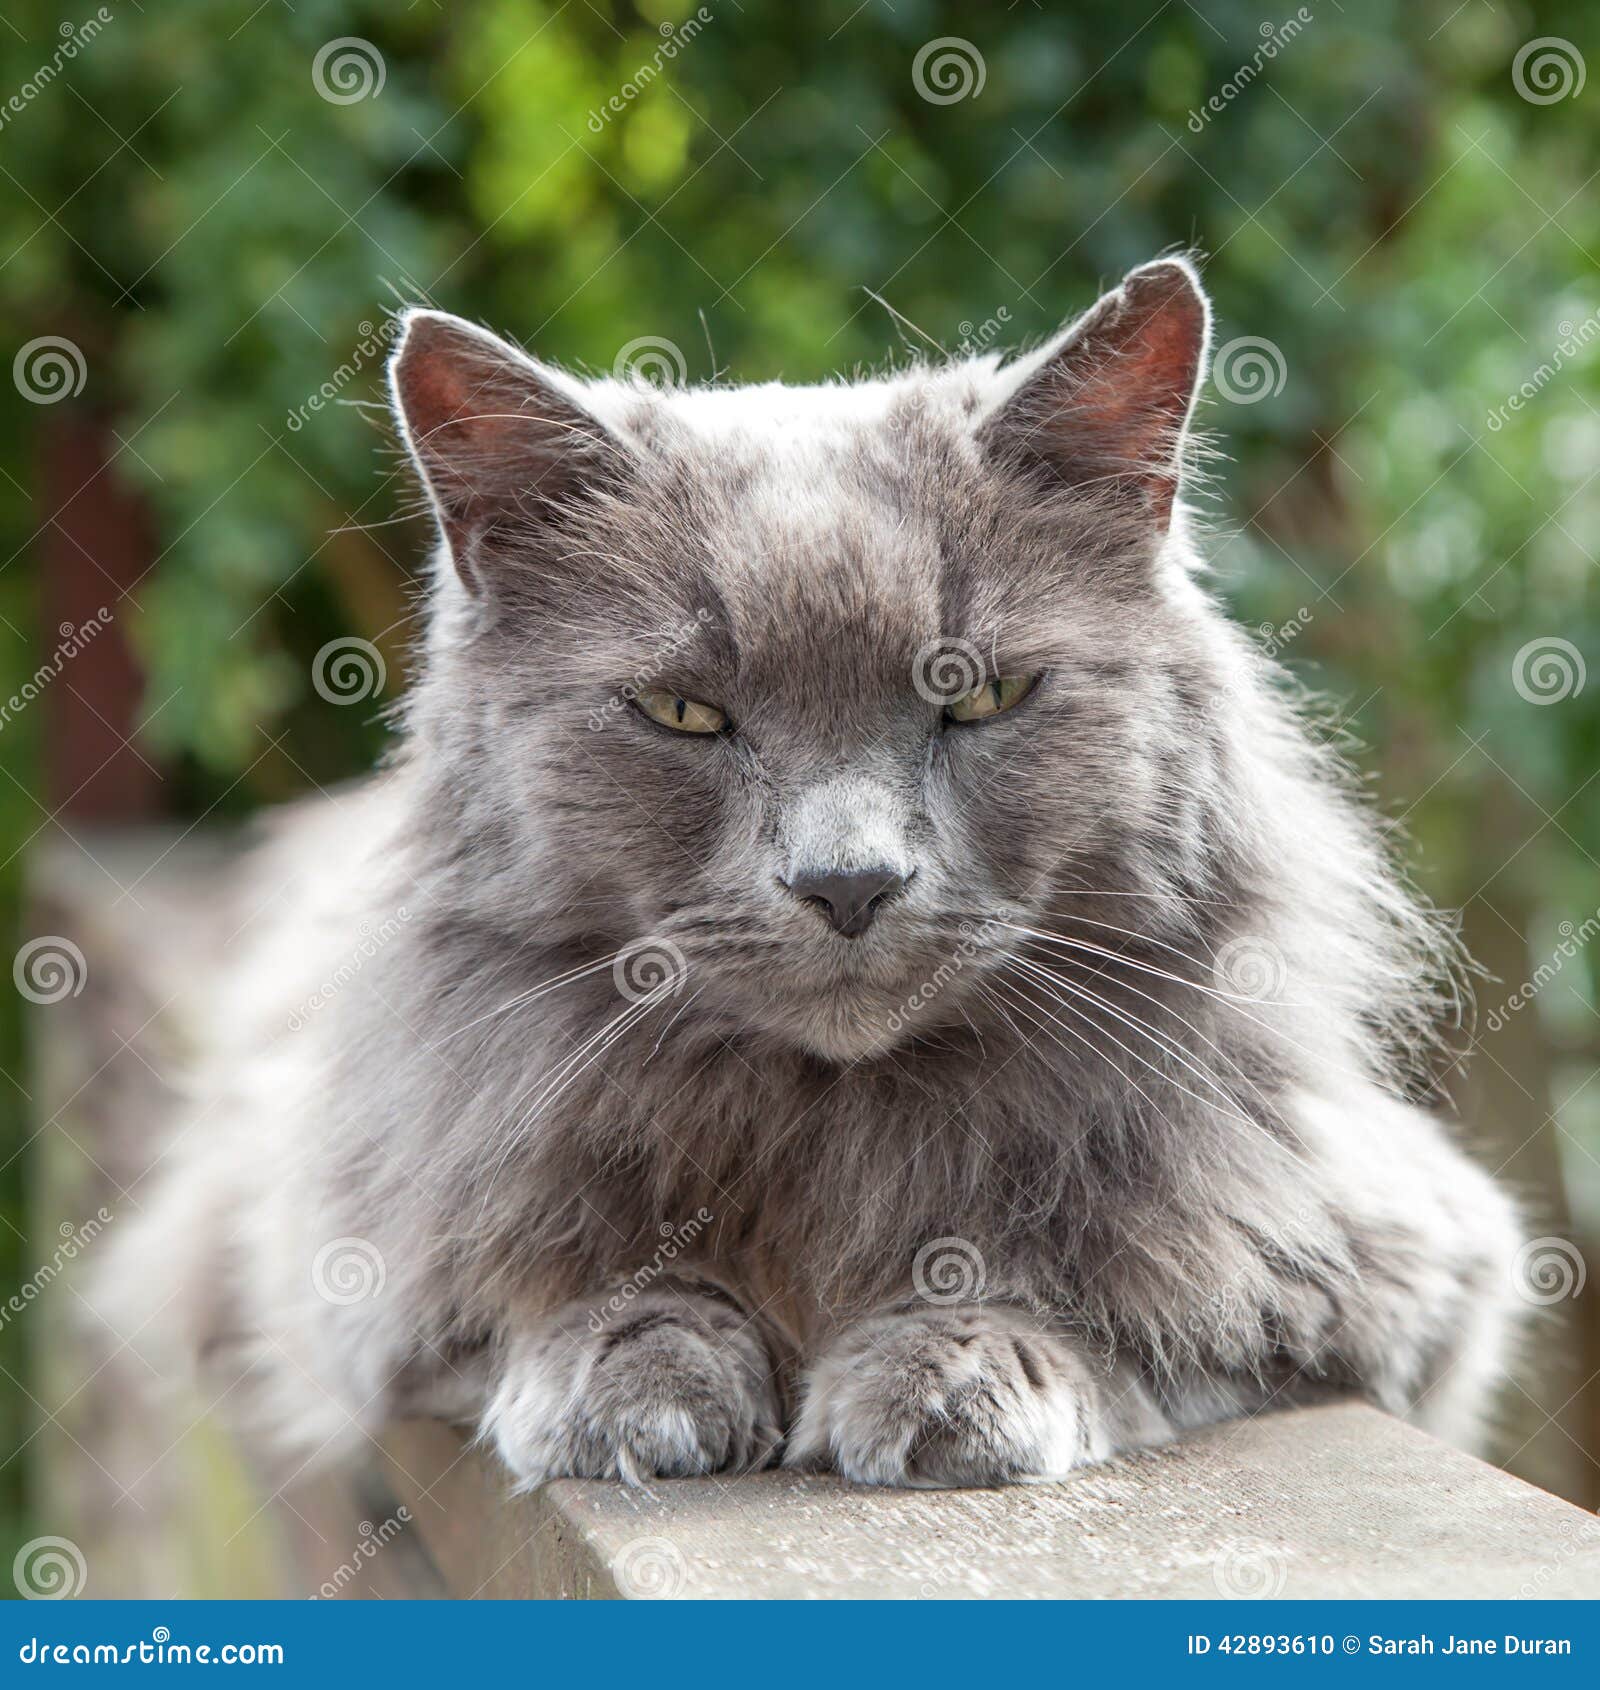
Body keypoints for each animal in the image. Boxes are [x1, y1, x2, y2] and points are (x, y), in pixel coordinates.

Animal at [103, 256, 1527, 1487]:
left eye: (981, 695)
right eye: (683, 713)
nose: (849, 880)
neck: (834, 1132)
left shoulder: (1399, 1257)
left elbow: (1125, 1293)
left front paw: (952, 1369)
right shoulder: (336, 1262)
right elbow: (569, 1278)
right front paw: (637, 1377)